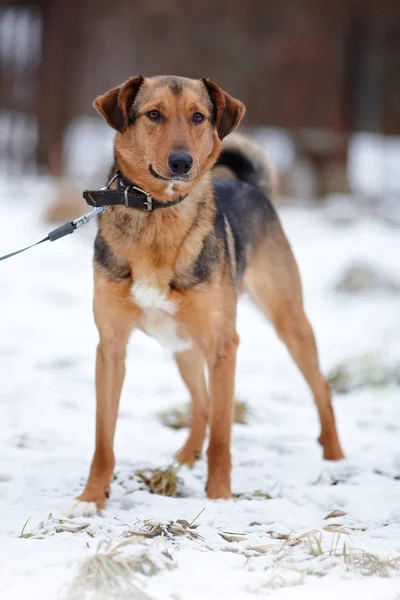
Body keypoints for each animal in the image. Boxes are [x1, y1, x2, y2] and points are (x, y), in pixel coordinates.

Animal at [67, 74, 342, 516]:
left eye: (198, 117)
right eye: (153, 114)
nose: (182, 162)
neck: (158, 215)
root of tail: (248, 185)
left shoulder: (223, 344)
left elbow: (224, 437)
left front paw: (219, 497)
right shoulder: (110, 348)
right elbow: (103, 439)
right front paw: (91, 498)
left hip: (288, 322)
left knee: (320, 388)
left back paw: (335, 456)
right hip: (182, 346)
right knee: (202, 404)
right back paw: (184, 458)